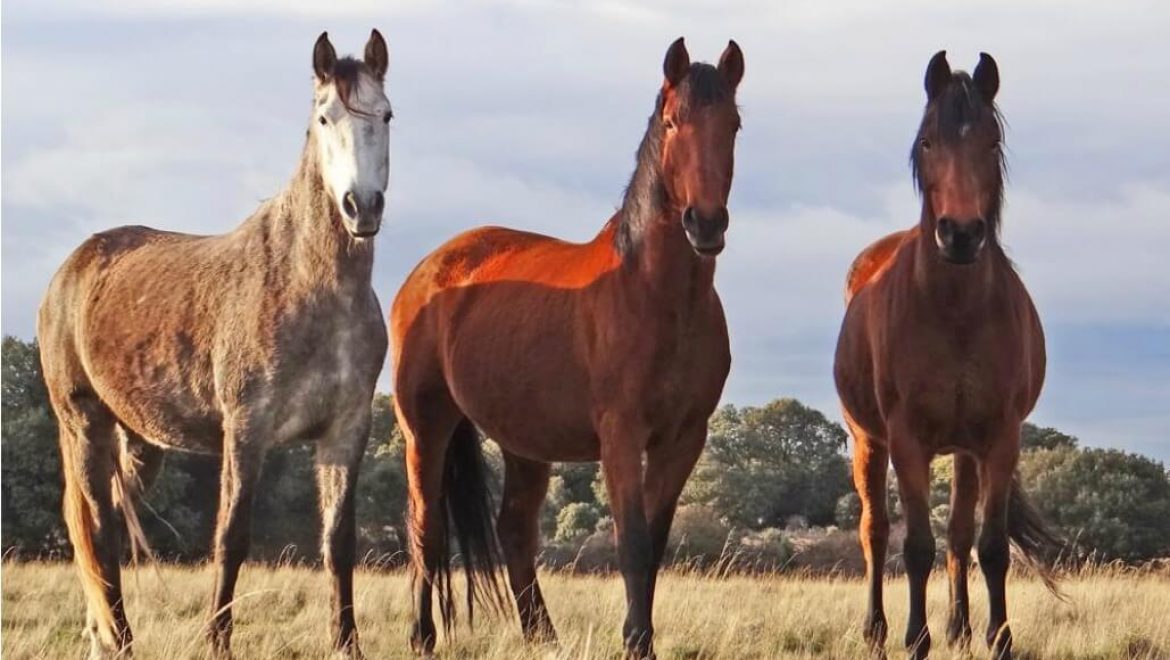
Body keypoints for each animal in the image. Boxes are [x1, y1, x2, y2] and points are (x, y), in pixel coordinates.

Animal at [37, 31, 393, 660]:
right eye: (324, 117)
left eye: (387, 115)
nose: (363, 206)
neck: (307, 284)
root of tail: (71, 270)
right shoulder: (246, 429)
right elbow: (231, 537)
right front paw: (217, 640)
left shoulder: (345, 431)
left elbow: (339, 542)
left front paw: (347, 643)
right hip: (83, 421)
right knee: (98, 527)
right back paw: (121, 639)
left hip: (139, 441)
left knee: (99, 521)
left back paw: (100, 632)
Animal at [390, 37, 739, 660]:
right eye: (673, 121)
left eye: (735, 125)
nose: (706, 223)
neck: (654, 296)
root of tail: (428, 272)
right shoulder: (620, 436)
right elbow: (633, 543)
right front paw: (637, 642)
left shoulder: (683, 440)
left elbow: (655, 542)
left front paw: (640, 637)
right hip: (424, 428)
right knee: (425, 529)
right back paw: (422, 636)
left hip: (524, 442)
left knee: (514, 530)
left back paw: (541, 635)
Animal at [833, 52, 1062, 660]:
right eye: (928, 141)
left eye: (990, 141)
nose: (959, 234)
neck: (956, 313)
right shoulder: (906, 439)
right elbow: (915, 544)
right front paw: (917, 639)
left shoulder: (1000, 438)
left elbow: (990, 545)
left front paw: (999, 637)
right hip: (868, 442)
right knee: (874, 531)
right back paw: (877, 630)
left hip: (964, 452)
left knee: (960, 535)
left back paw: (960, 627)